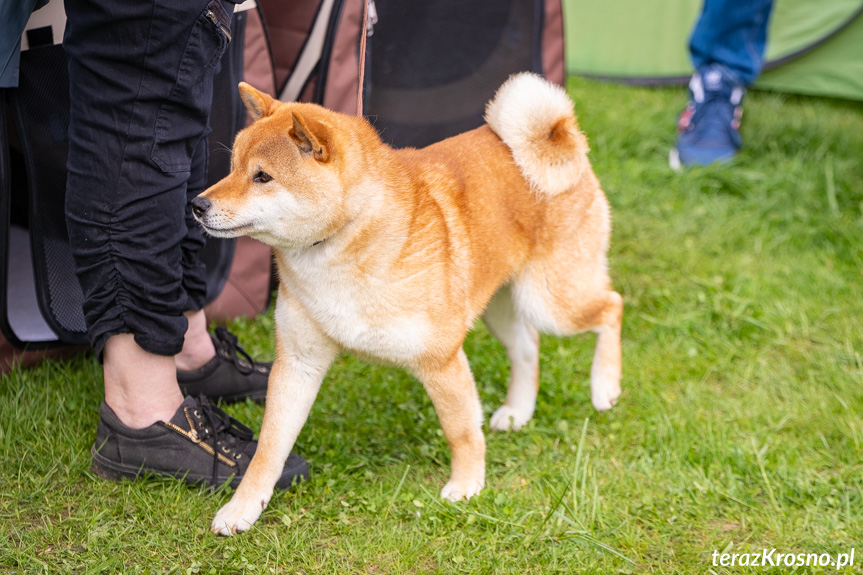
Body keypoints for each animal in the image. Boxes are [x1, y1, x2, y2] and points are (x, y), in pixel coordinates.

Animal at [194, 72, 628, 536]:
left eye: (262, 177)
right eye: (232, 167)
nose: (197, 204)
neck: (338, 249)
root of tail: (556, 140)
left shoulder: (441, 360)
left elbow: (461, 432)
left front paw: (467, 485)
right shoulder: (298, 363)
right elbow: (268, 448)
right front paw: (242, 508)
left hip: (550, 301)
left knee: (611, 306)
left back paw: (604, 386)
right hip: (503, 306)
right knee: (529, 347)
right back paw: (518, 411)